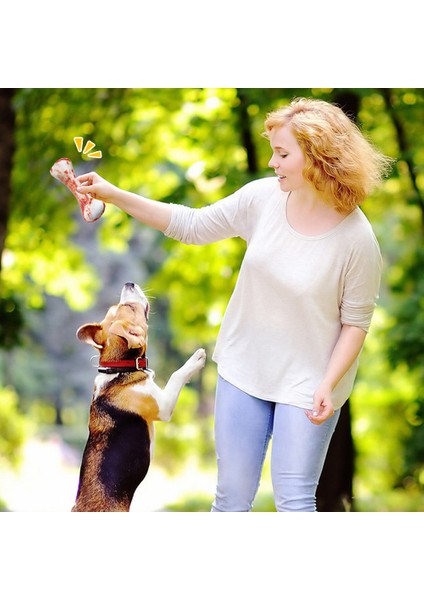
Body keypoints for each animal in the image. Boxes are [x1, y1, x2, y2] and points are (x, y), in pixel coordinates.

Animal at [71, 282, 207, 510]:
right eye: (129, 307)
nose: (129, 283)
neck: (119, 369)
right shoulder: (164, 406)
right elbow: (177, 374)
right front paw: (195, 360)